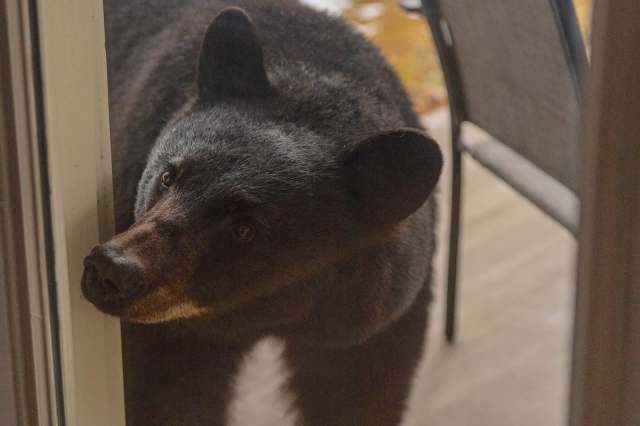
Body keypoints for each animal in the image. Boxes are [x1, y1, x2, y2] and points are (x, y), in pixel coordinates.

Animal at [81, 1, 443, 425]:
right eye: (168, 176)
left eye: (245, 229)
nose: (112, 269)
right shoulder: (172, 338)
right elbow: (167, 397)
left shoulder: (373, 323)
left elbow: (358, 397)